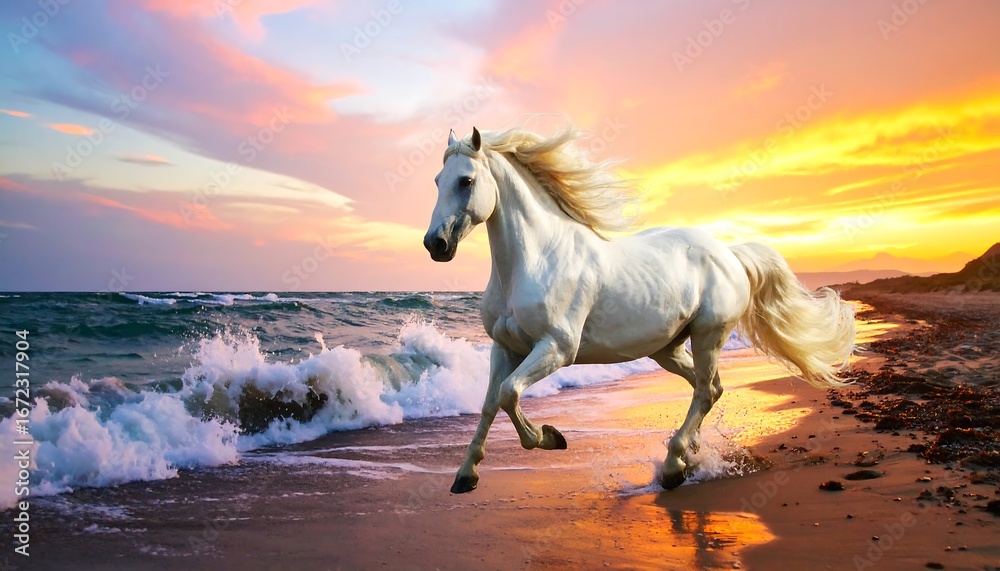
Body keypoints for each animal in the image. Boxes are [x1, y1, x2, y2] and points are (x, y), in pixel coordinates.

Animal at [423, 124, 856, 494]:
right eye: (437, 181)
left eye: (466, 181)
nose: (435, 244)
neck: (536, 260)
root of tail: (729, 253)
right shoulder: (504, 347)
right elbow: (490, 403)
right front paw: (465, 475)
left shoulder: (557, 348)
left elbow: (510, 394)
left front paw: (550, 437)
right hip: (668, 348)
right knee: (710, 388)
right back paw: (689, 457)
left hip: (708, 335)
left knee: (704, 391)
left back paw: (673, 467)